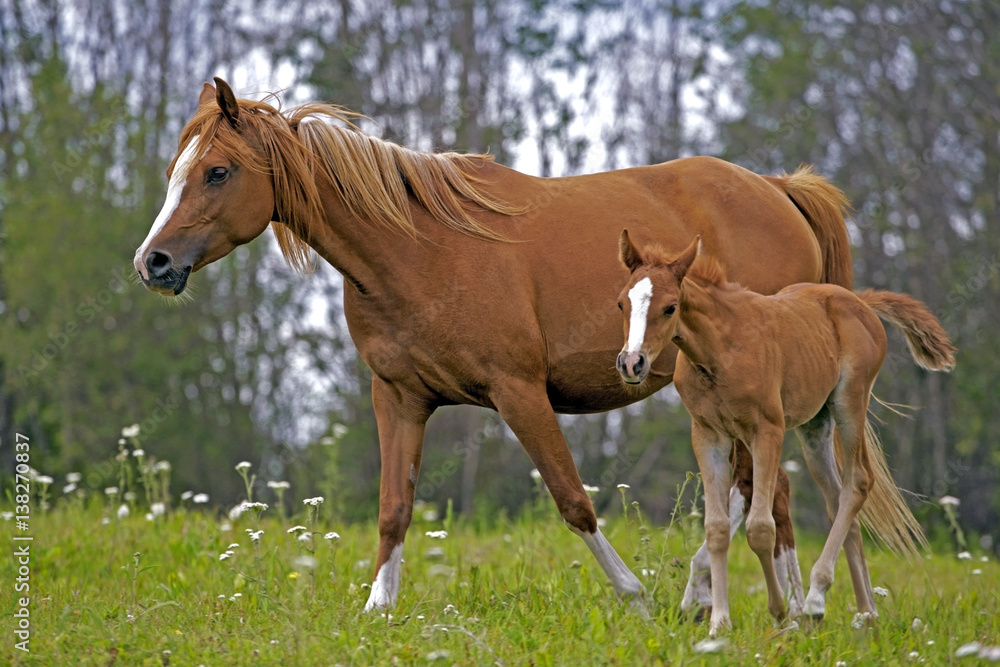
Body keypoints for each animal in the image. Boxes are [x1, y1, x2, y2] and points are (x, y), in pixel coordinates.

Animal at [133, 77, 855, 614]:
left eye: (218, 171)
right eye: (175, 170)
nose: (153, 262)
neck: (418, 249)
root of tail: (779, 191)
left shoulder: (519, 392)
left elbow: (573, 500)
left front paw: (633, 597)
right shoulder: (398, 397)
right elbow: (394, 507)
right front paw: (377, 608)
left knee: (765, 496)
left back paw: (785, 607)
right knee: (752, 494)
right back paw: (733, 603)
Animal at [615, 233, 955, 634]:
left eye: (670, 307)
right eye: (621, 303)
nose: (631, 363)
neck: (718, 352)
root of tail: (860, 301)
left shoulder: (767, 431)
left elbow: (761, 527)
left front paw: (780, 613)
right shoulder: (708, 435)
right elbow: (716, 529)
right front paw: (719, 624)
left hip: (849, 402)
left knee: (858, 482)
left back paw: (815, 599)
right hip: (814, 426)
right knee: (837, 497)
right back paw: (866, 612)